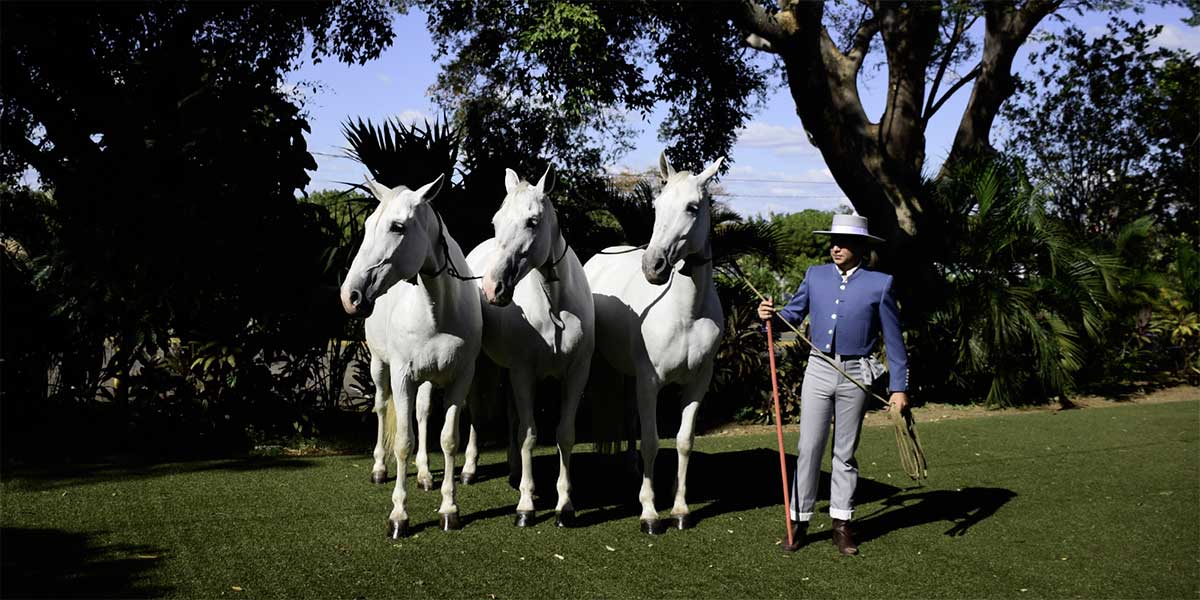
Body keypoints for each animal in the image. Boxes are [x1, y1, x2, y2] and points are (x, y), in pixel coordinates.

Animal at [340, 174, 480, 540]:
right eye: (367, 225)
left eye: (398, 226)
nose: (349, 296)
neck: (438, 309)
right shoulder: (402, 376)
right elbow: (402, 441)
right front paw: (399, 516)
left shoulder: (460, 379)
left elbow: (448, 440)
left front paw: (449, 509)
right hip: (379, 367)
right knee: (380, 408)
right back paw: (379, 468)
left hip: (428, 379)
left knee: (422, 413)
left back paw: (425, 475)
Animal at [458, 166, 590, 528]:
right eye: (496, 221)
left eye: (532, 221)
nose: (493, 288)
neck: (555, 305)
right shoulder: (523, 373)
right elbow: (529, 435)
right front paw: (526, 507)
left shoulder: (576, 374)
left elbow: (563, 434)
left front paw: (565, 506)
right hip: (486, 368)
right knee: (477, 414)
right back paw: (470, 470)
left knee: (511, 418)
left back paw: (516, 474)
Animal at [580, 151, 720, 535]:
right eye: (657, 206)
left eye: (692, 207)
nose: (653, 266)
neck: (686, 314)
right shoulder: (650, 382)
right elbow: (653, 442)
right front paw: (649, 513)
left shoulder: (698, 384)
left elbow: (684, 441)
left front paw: (681, 509)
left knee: (630, 419)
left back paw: (630, 465)